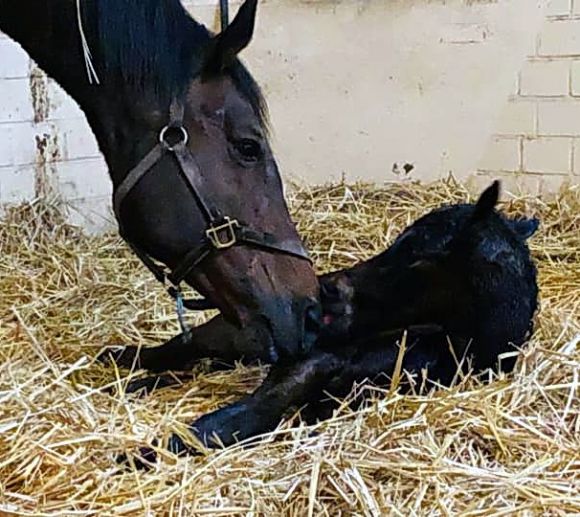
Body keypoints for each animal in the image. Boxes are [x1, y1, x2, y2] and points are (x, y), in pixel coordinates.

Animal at [113, 182, 540, 452]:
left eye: (418, 255)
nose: (327, 290)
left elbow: (250, 415)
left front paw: (151, 451)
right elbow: (245, 412)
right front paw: (144, 453)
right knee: (187, 347)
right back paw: (121, 361)